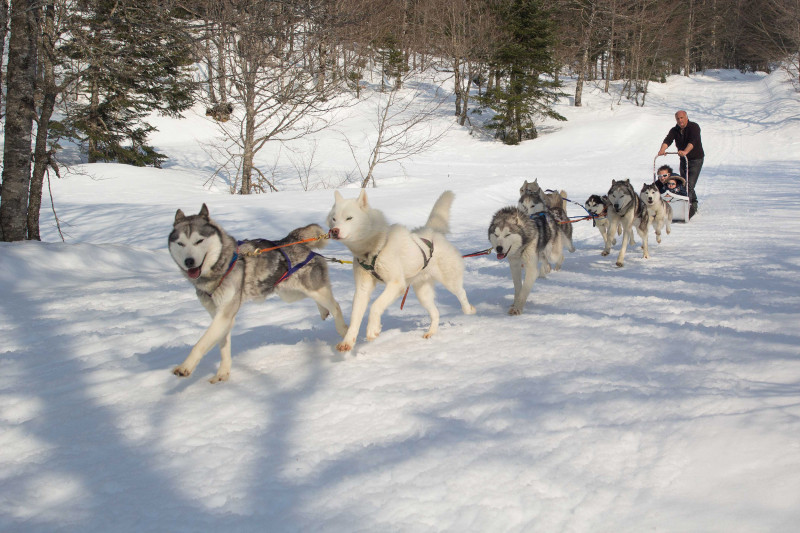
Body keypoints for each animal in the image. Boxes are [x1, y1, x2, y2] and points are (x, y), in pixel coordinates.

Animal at [169, 204, 346, 382]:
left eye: (199, 241)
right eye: (180, 243)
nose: (189, 261)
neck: (221, 266)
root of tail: (290, 239)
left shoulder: (224, 314)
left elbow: (201, 343)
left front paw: (185, 367)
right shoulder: (220, 317)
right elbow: (223, 347)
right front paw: (223, 373)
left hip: (312, 289)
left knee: (336, 305)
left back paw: (343, 329)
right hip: (291, 294)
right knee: (322, 301)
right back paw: (323, 311)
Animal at [326, 189, 476, 352]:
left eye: (349, 218)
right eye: (334, 218)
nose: (334, 231)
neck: (374, 248)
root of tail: (432, 231)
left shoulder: (396, 284)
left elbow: (376, 305)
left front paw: (373, 329)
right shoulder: (362, 288)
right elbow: (355, 317)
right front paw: (348, 341)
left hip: (449, 281)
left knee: (462, 293)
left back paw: (468, 309)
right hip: (423, 294)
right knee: (435, 313)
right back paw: (431, 332)